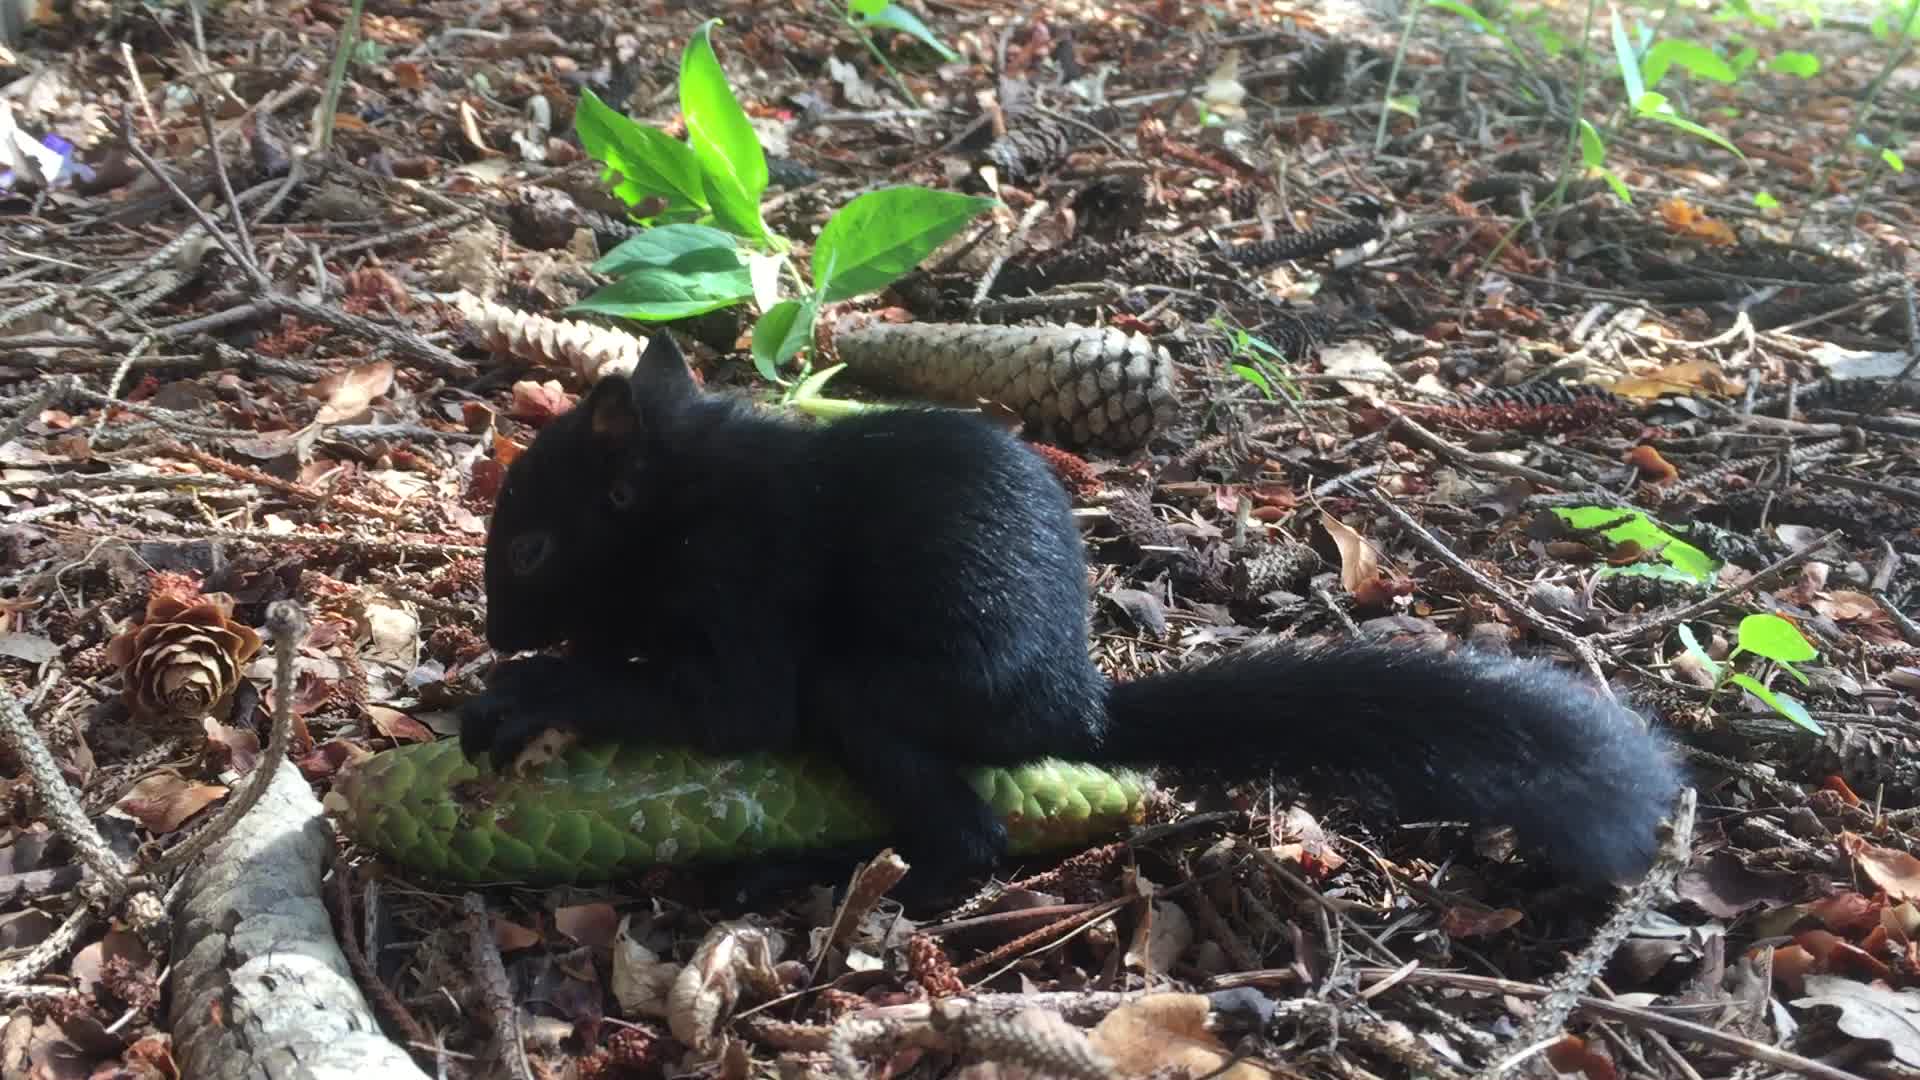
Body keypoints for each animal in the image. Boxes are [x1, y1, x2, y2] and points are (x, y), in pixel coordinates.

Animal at [459, 332, 1682, 897]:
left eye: (530, 546)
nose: (498, 631)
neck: (688, 490)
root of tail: (1076, 711)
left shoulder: (742, 581)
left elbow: (728, 710)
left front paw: (528, 691)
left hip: (893, 695)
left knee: (965, 832)